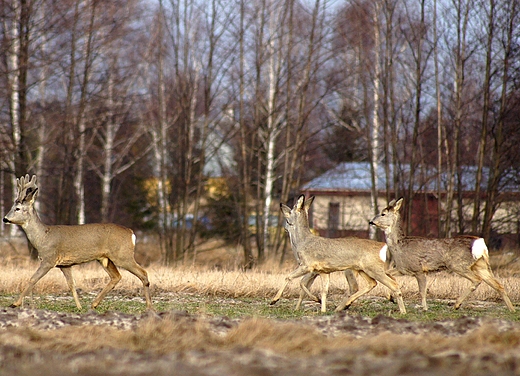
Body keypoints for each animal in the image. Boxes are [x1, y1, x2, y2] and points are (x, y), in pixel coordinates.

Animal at [3, 176, 153, 312]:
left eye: (17, 208)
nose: (4, 219)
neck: (43, 237)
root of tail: (131, 233)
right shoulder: (65, 264)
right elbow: (71, 285)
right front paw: (79, 307)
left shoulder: (49, 259)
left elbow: (32, 279)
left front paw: (15, 304)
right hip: (105, 258)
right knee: (116, 276)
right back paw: (93, 304)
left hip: (123, 255)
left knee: (143, 273)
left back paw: (148, 306)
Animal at [270, 195, 408, 312]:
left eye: (288, 215)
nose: (285, 227)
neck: (302, 242)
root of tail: (383, 246)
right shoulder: (323, 271)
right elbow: (323, 290)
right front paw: (322, 309)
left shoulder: (307, 265)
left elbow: (291, 278)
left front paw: (274, 300)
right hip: (364, 269)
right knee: (373, 283)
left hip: (372, 268)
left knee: (392, 284)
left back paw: (402, 311)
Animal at [370, 197, 516, 312]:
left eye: (383, 214)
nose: (371, 221)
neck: (399, 247)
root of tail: (480, 243)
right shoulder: (403, 269)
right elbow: (388, 275)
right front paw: (391, 297)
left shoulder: (418, 269)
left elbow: (422, 291)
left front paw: (424, 308)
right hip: (480, 265)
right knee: (498, 285)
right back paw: (512, 309)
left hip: (458, 264)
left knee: (477, 279)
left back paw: (456, 304)